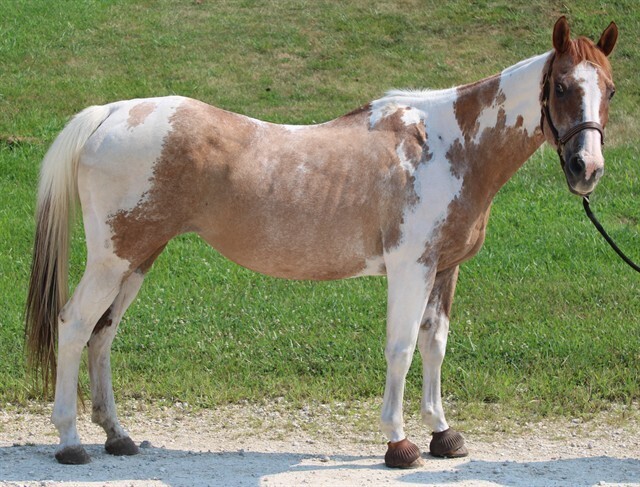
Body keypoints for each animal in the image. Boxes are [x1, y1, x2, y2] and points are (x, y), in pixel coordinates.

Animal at [25, 16, 618, 467]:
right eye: (562, 86)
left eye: (609, 89)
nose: (586, 169)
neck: (448, 145)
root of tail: (109, 112)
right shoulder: (411, 269)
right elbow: (401, 348)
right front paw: (399, 442)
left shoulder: (445, 269)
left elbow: (435, 345)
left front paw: (442, 432)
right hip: (112, 260)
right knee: (74, 326)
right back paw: (71, 442)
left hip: (139, 259)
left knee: (103, 334)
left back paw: (117, 436)